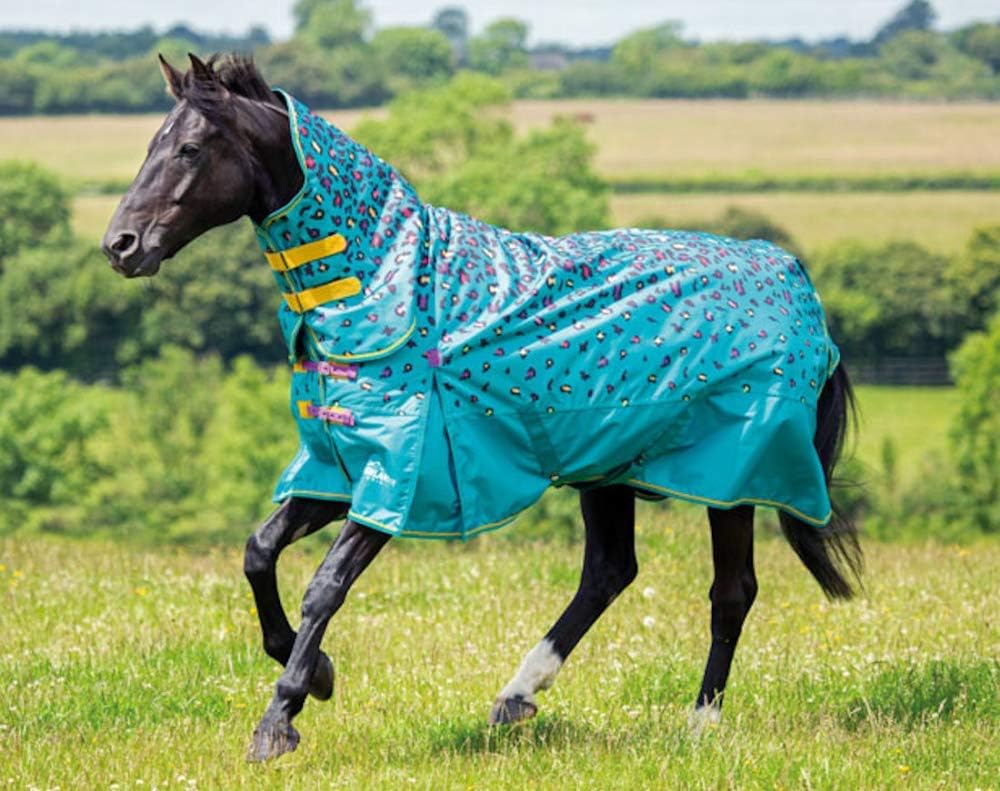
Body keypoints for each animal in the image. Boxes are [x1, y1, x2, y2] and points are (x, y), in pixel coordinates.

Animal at [102, 54, 862, 762]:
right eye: (152, 143)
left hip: (733, 481)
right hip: (608, 467)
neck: (378, 283)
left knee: (730, 590)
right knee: (609, 572)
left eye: (189, 148)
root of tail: (799, 286)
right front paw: (317, 674)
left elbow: (324, 585)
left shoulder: (400, 480)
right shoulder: (340, 468)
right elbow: (258, 553)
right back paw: (516, 696)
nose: (120, 245)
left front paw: (279, 718)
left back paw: (699, 723)